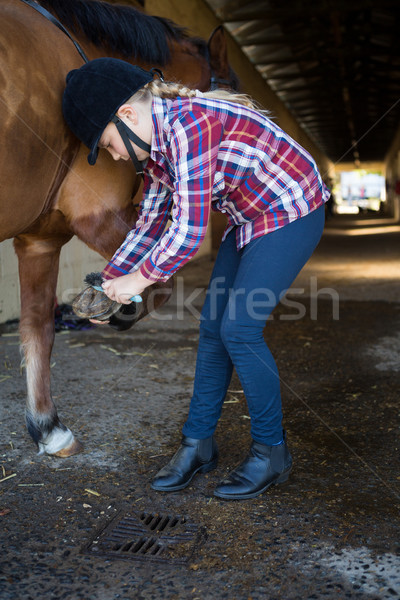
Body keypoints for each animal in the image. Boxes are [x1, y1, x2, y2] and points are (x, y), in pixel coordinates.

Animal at [0, 0, 238, 460]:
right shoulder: (98, 214)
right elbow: (159, 282)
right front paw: (119, 304)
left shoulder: (38, 239)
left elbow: (38, 328)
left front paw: (48, 427)